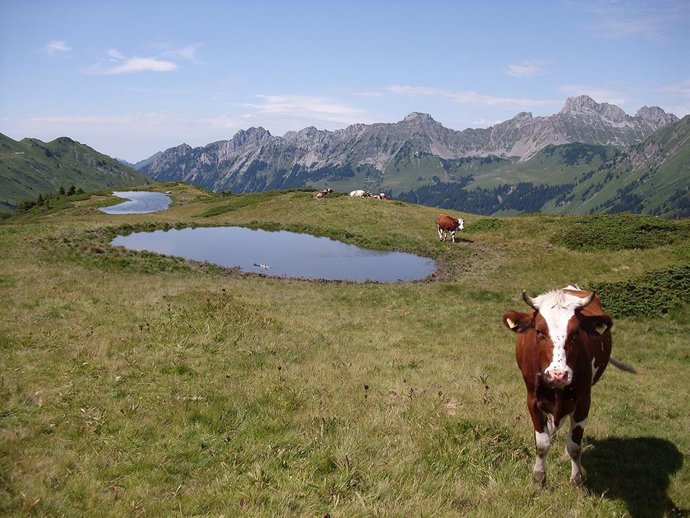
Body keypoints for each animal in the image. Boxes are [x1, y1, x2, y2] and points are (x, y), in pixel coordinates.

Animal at [502, 285, 633, 486]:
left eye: (576, 333)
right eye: (539, 331)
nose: (558, 374)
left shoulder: (583, 401)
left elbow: (575, 446)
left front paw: (577, 478)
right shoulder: (532, 399)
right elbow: (542, 443)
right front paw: (539, 476)